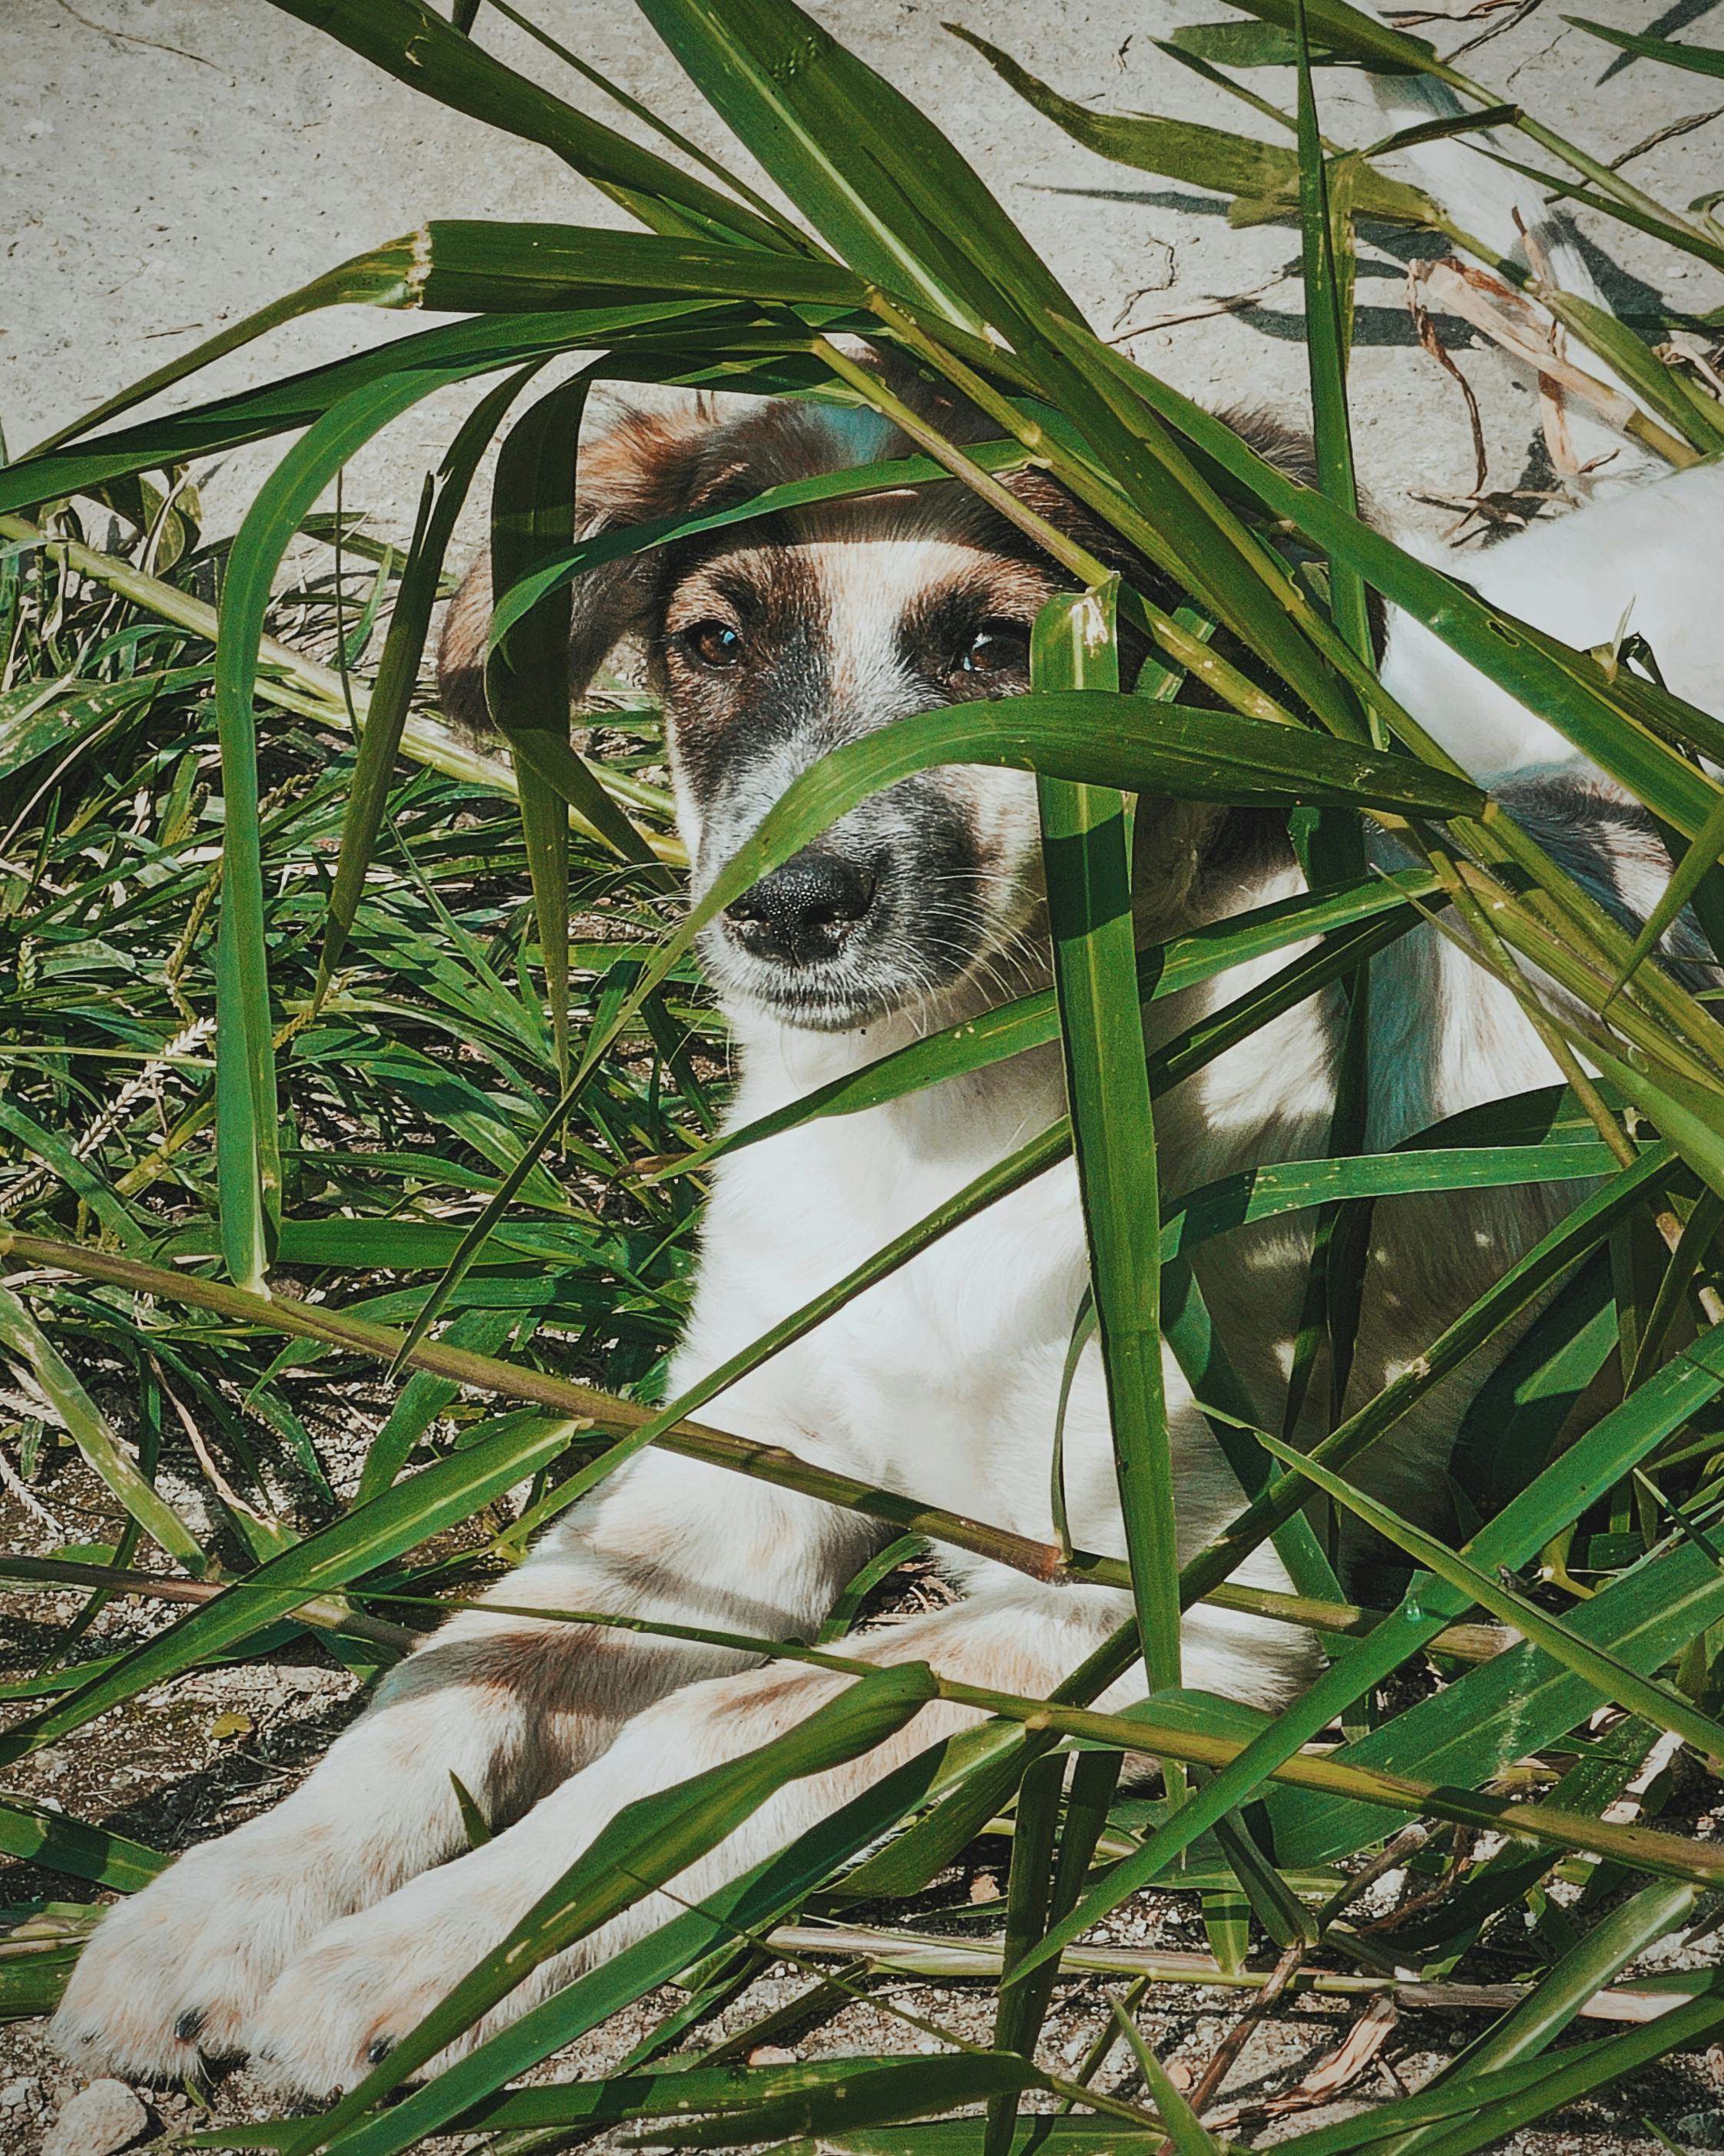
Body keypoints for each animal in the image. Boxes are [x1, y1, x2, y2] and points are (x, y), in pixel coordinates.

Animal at [54, 33, 1724, 2095]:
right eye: (710, 639)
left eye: (1005, 646)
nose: (785, 908)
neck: (952, 1127)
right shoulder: (736, 1451)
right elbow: (464, 1657)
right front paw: (227, 1901)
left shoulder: (1161, 1613)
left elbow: (699, 1753)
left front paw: (427, 1951)